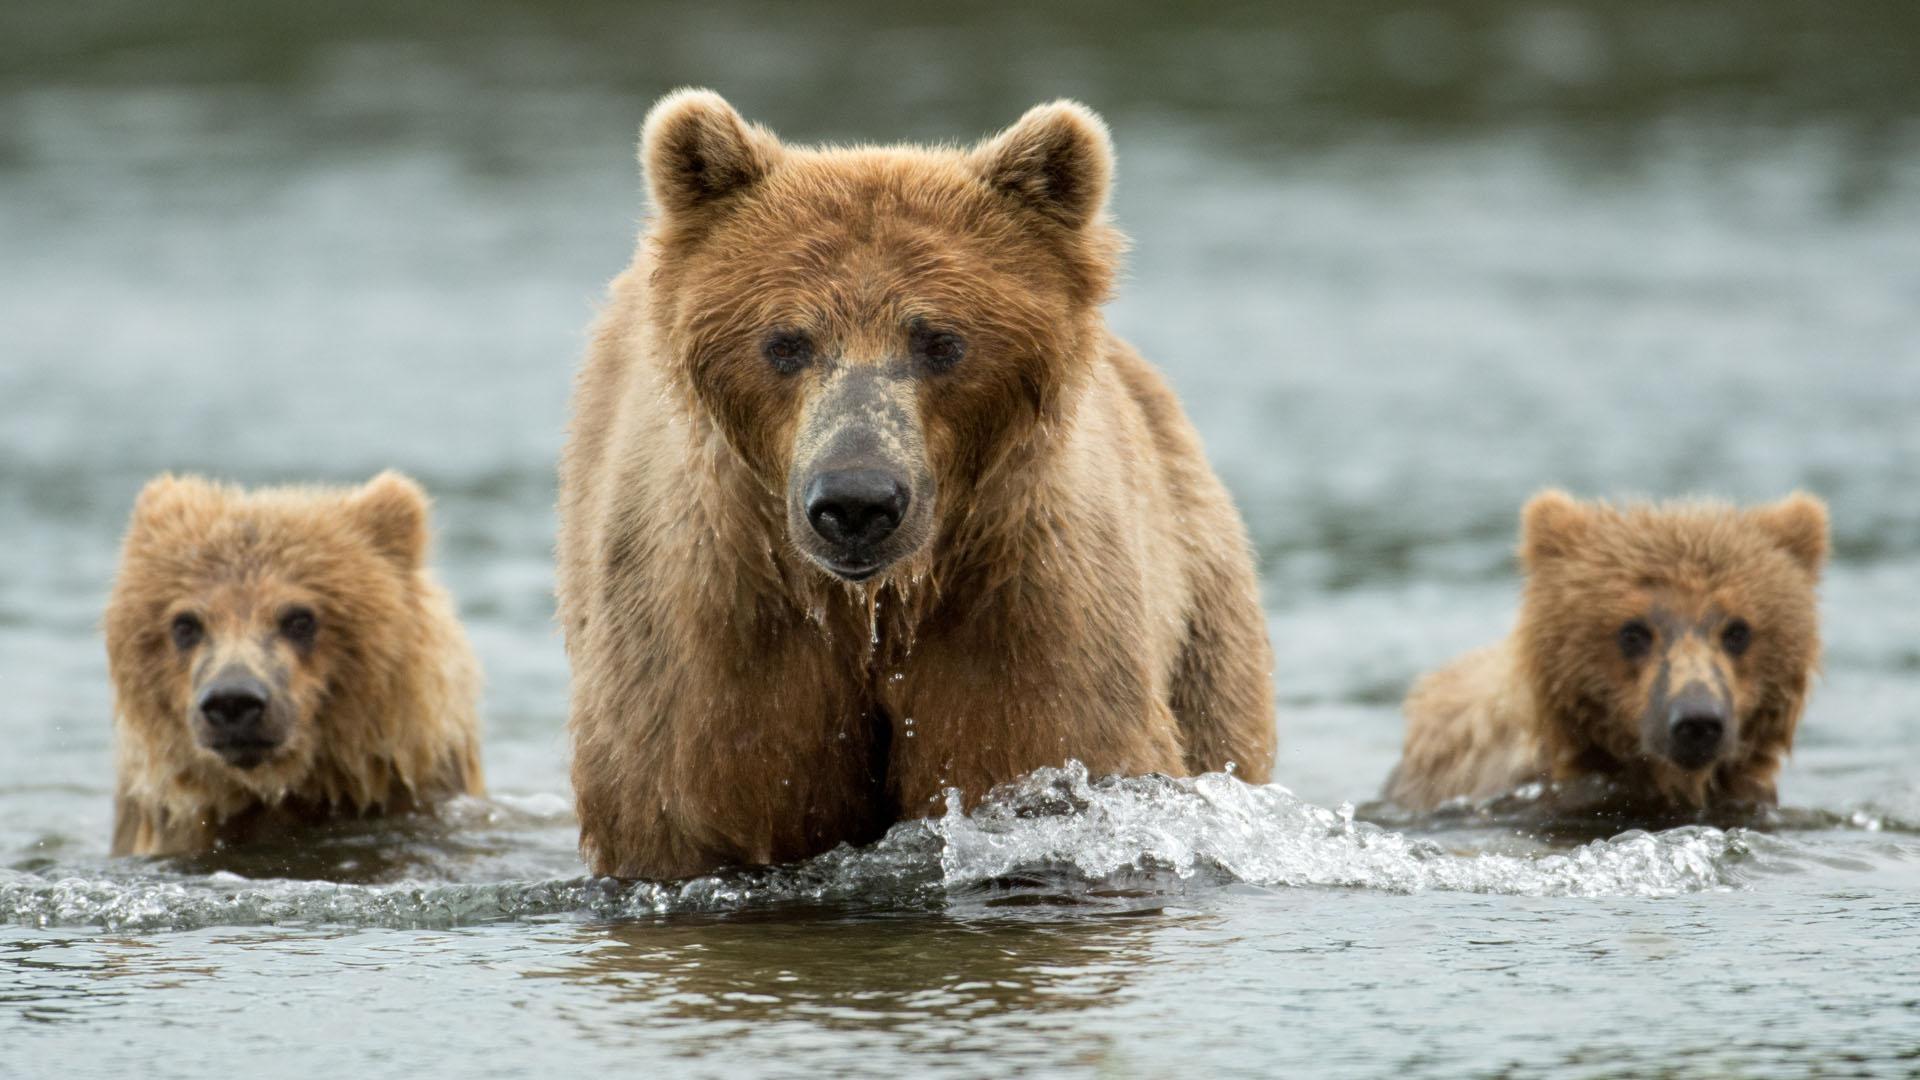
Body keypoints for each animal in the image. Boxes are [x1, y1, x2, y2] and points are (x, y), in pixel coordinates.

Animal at [556, 85, 1274, 876]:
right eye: (785, 341)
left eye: (940, 341)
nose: (856, 502)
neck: (873, 607)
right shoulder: (719, 640)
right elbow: (694, 801)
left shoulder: (1018, 606)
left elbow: (1047, 754)